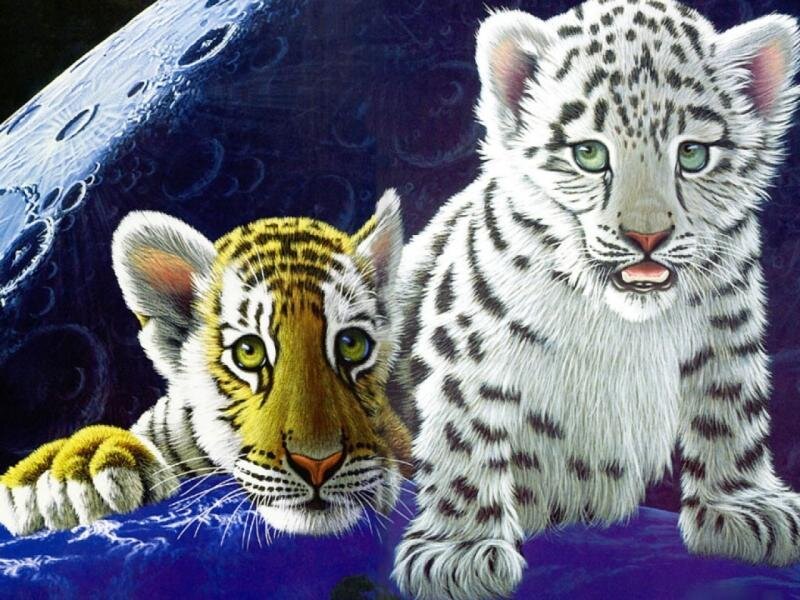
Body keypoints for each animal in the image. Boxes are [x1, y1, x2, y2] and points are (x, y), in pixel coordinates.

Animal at [390, 2, 800, 599]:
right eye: (588, 152)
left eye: (693, 153)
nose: (647, 235)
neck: (623, 324)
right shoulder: (470, 345)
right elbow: (464, 437)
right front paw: (458, 554)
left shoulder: (729, 331)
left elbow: (730, 413)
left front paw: (746, 509)